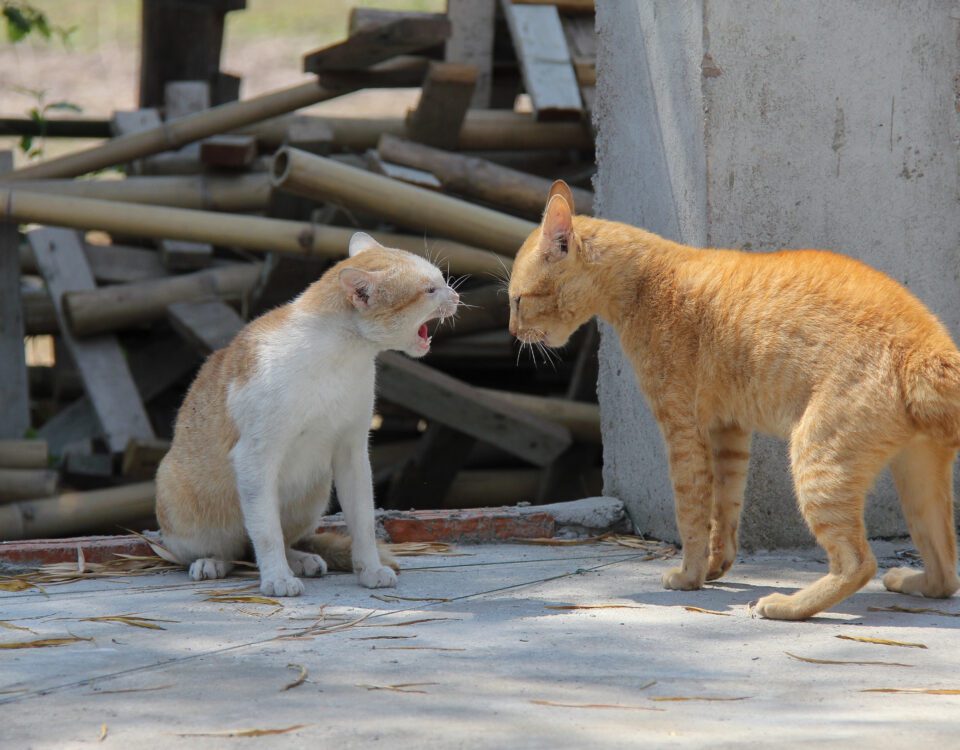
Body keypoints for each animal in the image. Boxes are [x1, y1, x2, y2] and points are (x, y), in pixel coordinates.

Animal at [156, 235, 460, 600]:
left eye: (441, 281)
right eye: (430, 289)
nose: (456, 295)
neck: (340, 355)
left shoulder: (352, 453)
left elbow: (362, 520)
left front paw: (369, 569)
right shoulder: (256, 456)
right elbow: (266, 531)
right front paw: (276, 578)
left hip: (315, 492)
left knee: (264, 544)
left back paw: (300, 559)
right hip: (180, 496)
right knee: (232, 549)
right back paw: (213, 562)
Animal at [510, 179, 960, 620]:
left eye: (517, 300)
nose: (513, 332)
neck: (644, 280)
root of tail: (929, 347)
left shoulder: (682, 429)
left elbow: (691, 511)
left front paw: (689, 575)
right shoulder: (729, 430)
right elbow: (724, 508)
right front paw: (714, 567)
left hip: (817, 458)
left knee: (859, 562)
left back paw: (786, 605)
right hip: (916, 479)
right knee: (946, 572)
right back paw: (910, 581)